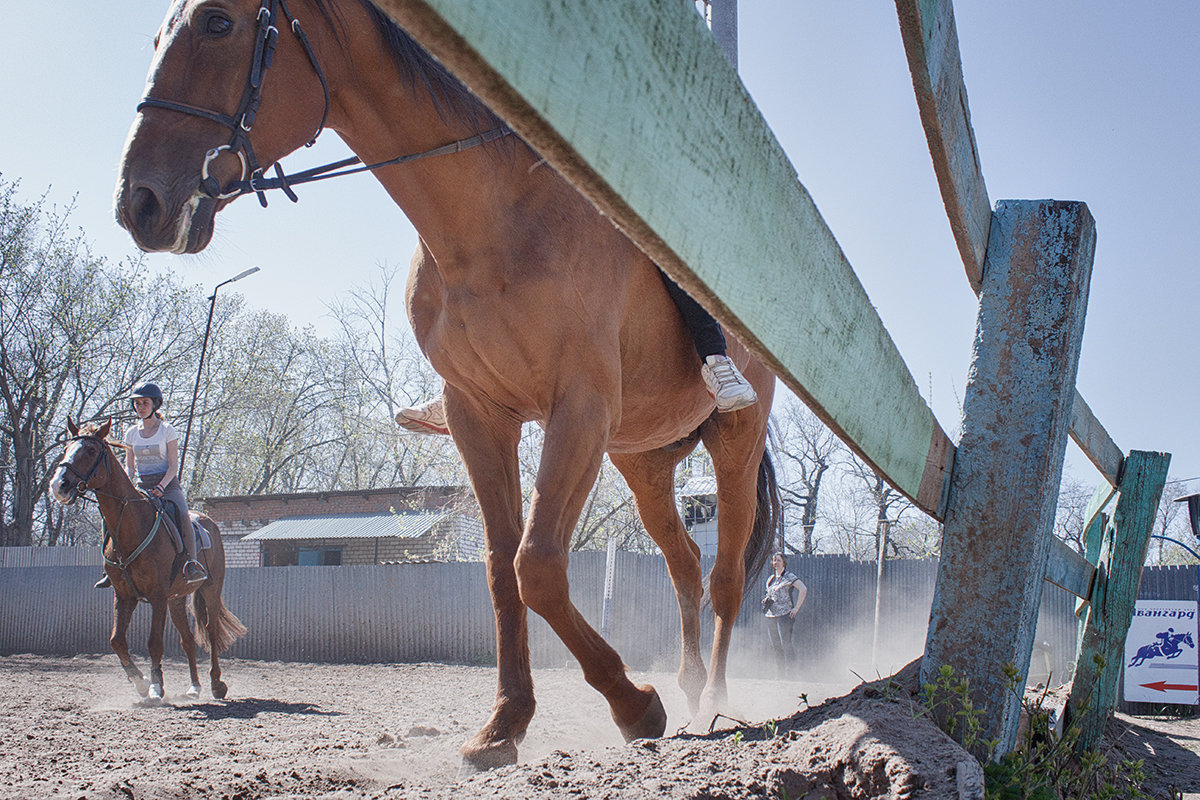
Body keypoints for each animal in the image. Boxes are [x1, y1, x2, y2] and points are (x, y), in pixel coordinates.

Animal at [49, 419, 244, 700]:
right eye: (66, 448)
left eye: (90, 451)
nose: (58, 485)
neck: (132, 524)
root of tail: (208, 522)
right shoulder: (124, 596)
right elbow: (116, 640)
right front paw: (139, 681)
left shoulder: (158, 596)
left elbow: (154, 643)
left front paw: (156, 685)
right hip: (177, 599)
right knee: (187, 639)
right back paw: (194, 687)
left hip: (209, 588)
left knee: (211, 631)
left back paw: (216, 684)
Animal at [114, 0, 777, 767]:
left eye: (218, 23)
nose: (139, 202)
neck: (494, 220)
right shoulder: (479, 416)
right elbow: (500, 570)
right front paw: (505, 724)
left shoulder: (577, 409)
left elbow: (537, 564)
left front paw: (633, 704)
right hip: (640, 460)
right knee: (685, 565)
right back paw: (692, 686)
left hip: (733, 440)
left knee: (726, 576)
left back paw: (716, 700)